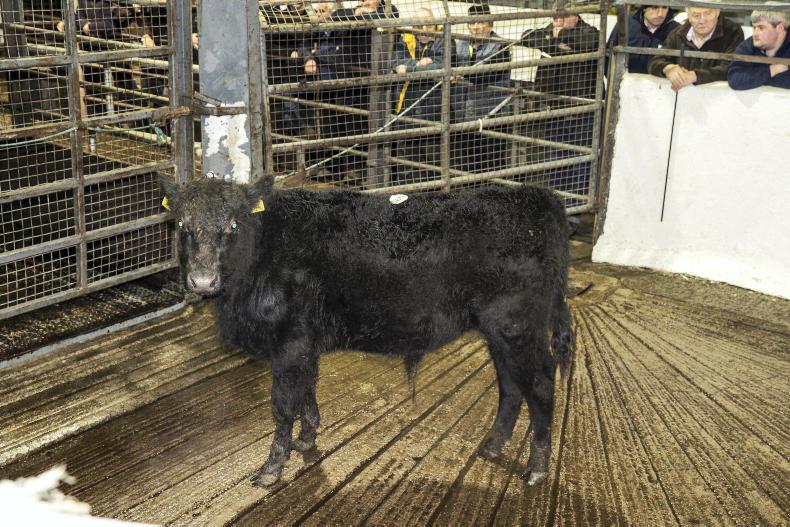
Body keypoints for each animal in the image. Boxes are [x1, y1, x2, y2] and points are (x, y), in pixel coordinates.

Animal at [159, 174, 575, 488]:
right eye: (181, 224)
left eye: (232, 224)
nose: (201, 280)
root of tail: (538, 196)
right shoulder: (305, 344)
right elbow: (307, 392)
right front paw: (306, 440)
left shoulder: (290, 343)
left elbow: (282, 406)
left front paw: (271, 469)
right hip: (501, 333)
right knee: (510, 386)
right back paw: (492, 446)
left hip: (516, 327)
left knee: (540, 384)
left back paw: (536, 468)